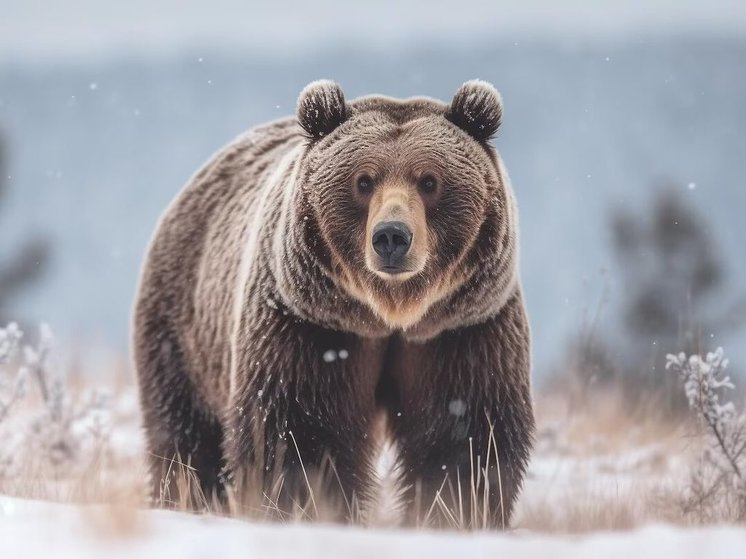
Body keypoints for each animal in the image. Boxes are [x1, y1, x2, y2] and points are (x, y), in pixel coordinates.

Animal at [131, 80, 532, 528]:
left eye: (430, 181)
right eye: (364, 181)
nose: (392, 236)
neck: (389, 315)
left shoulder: (459, 329)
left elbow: (462, 431)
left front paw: (454, 513)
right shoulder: (310, 325)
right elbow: (302, 431)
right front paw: (310, 506)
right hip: (185, 326)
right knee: (184, 434)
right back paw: (186, 498)